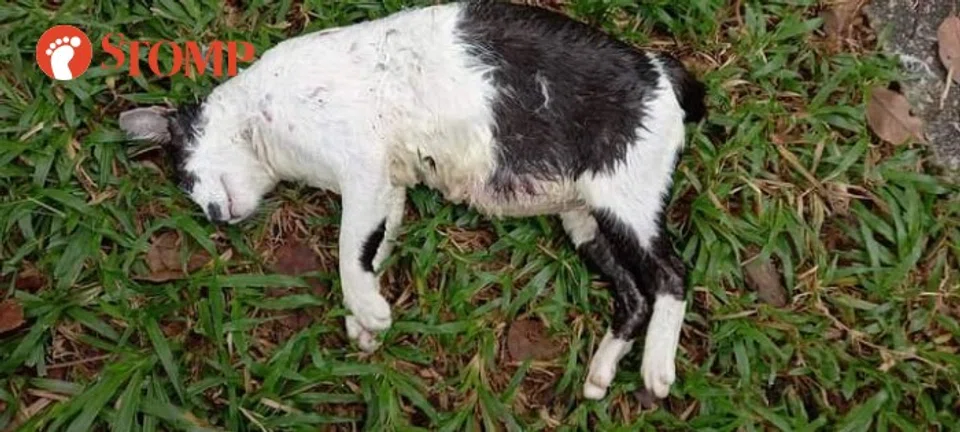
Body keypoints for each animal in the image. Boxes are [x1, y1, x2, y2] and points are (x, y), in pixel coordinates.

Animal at [118, 0, 707, 400]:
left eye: (187, 178)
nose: (213, 216)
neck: (259, 125)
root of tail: (662, 69)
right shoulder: (387, 190)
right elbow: (370, 252)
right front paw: (363, 323)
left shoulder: (363, 171)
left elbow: (347, 255)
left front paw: (369, 313)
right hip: (585, 220)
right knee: (633, 295)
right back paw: (602, 371)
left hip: (626, 204)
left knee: (672, 274)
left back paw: (657, 369)